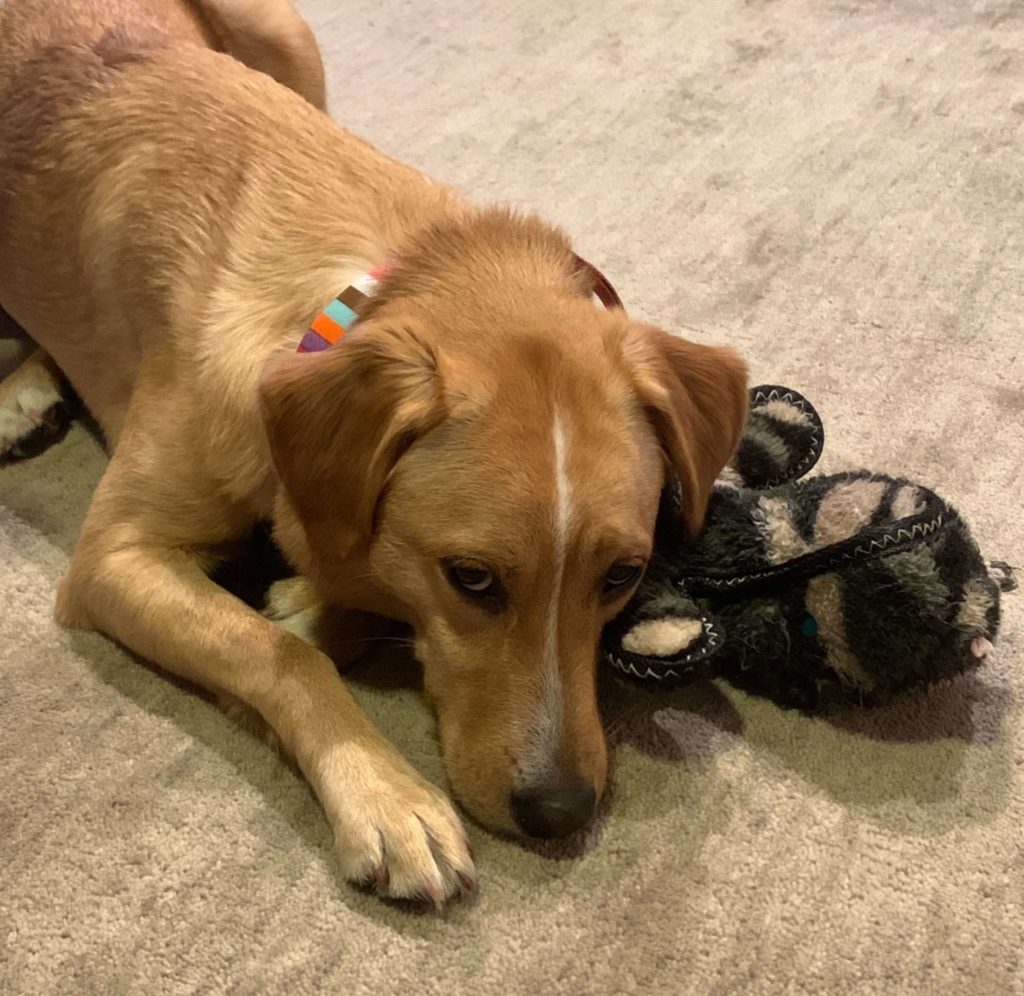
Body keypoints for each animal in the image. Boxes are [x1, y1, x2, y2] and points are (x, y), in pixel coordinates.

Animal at [0, 0, 745, 900]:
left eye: (623, 576)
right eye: (472, 578)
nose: (562, 812)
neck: (354, 288)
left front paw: (312, 600)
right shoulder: (113, 556)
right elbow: (277, 655)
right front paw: (386, 797)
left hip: (283, 35)